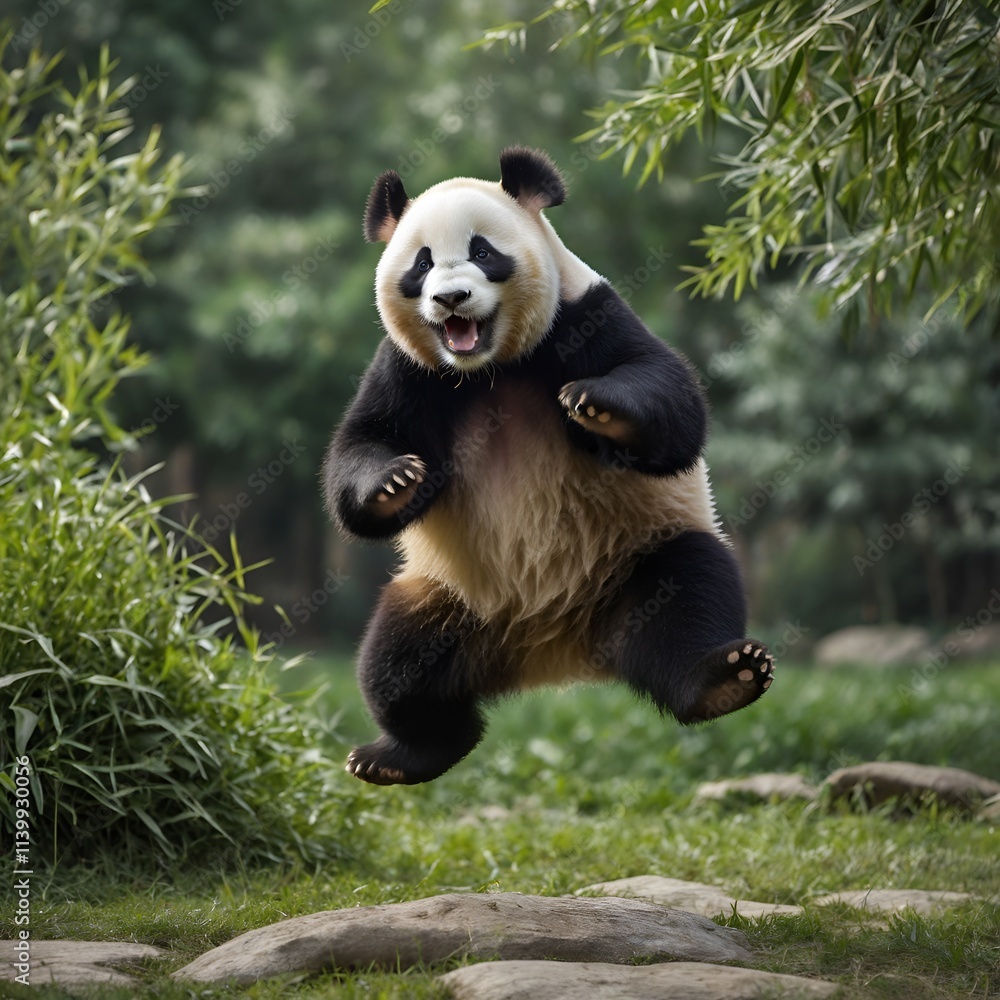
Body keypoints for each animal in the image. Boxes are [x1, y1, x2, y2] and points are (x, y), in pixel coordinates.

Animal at [323, 147, 773, 785]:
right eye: (422, 264)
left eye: (483, 252)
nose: (450, 298)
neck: (490, 367)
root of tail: (552, 650)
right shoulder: (410, 368)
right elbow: (365, 444)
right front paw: (394, 483)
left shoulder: (585, 313)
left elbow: (671, 402)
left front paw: (599, 407)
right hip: (447, 595)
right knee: (396, 663)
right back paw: (399, 756)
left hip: (639, 554)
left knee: (690, 595)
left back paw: (725, 680)